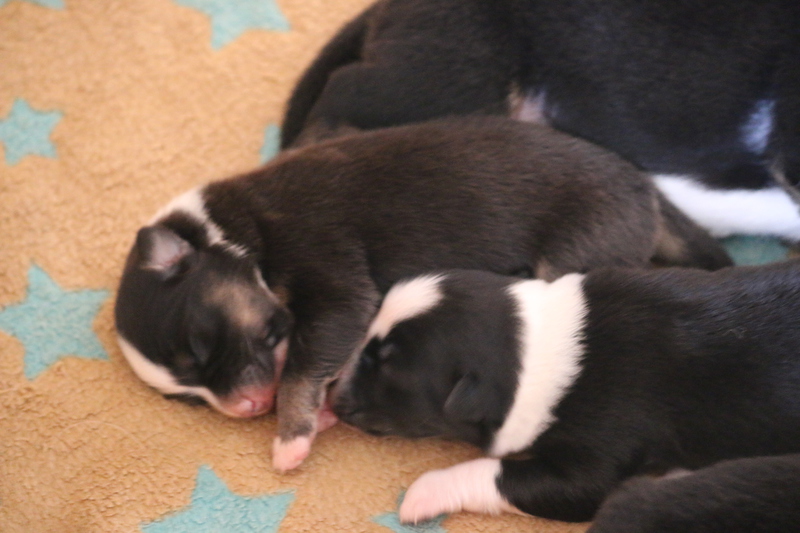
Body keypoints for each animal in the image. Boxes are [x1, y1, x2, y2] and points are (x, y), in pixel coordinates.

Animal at [114, 116, 731, 471]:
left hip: (579, 245)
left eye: (199, 343)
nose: (245, 409)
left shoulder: (336, 284)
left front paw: (291, 439)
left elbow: (305, 364)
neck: (238, 233)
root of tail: (644, 188)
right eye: (188, 397)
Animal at [333, 260, 800, 523]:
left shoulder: (596, 453)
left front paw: (425, 492)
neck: (530, 347)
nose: (334, 399)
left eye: (388, 371)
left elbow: (502, 475)